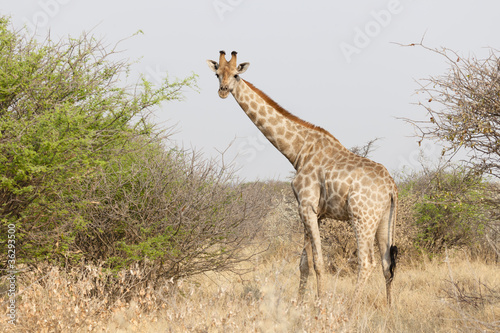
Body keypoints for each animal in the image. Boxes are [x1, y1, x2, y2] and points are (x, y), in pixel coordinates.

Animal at [207, 50, 398, 304]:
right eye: (218, 74)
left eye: (236, 75)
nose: (223, 90)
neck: (297, 151)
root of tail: (391, 187)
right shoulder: (315, 212)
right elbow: (303, 263)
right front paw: (299, 304)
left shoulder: (307, 206)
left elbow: (317, 262)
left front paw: (320, 304)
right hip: (384, 218)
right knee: (387, 263)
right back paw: (389, 308)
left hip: (362, 217)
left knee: (367, 262)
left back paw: (352, 307)